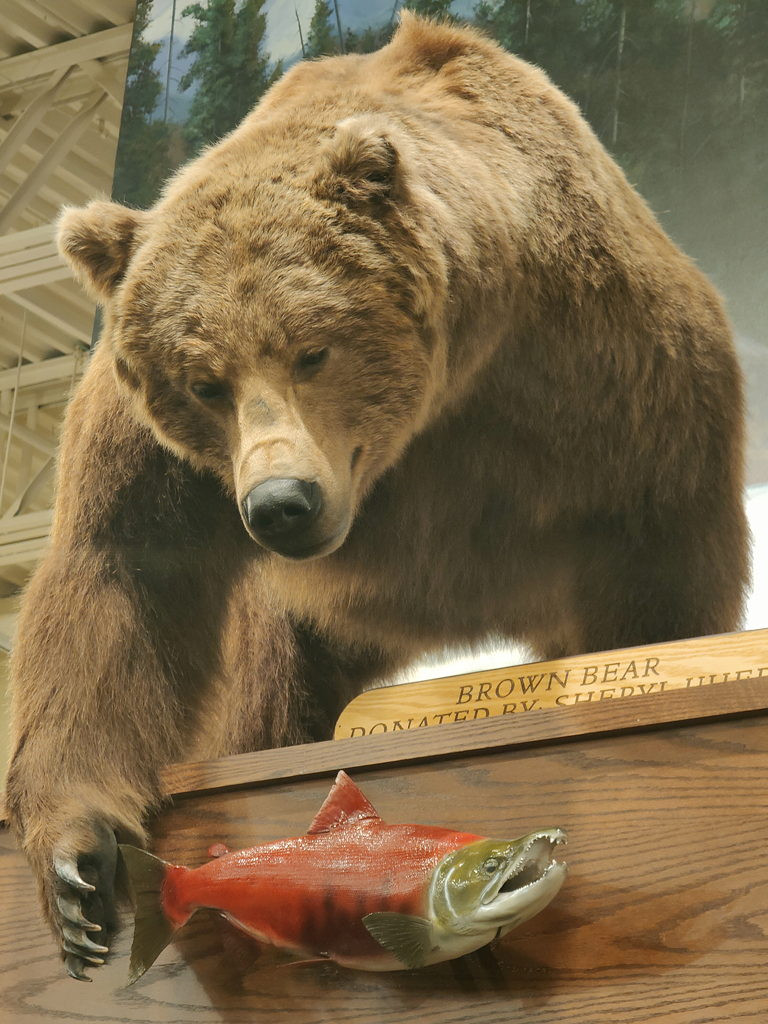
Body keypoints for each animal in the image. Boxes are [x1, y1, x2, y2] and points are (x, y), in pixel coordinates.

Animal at [5, 13, 748, 980]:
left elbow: (655, 580)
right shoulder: (161, 462)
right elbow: (118, 578)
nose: (281, 503)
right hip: (287, 624)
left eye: (312, 348)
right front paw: (78, 870)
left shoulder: (600, 382)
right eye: (203, 381)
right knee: (263, 705)